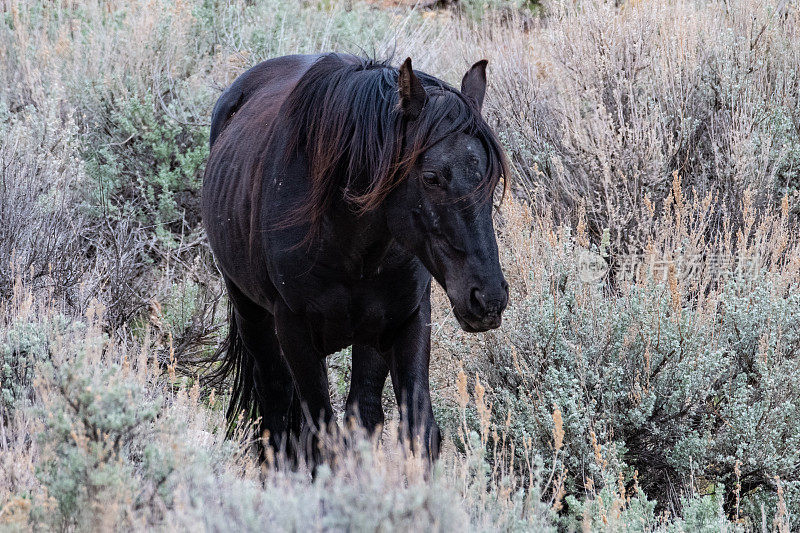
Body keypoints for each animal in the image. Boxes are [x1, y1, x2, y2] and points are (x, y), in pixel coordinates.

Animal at [203, 55, 510, 462]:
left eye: (492, 178)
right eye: (431, 177)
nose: (487, 298)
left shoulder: (406, 319)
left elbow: (418, 431)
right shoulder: (294, 329)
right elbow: (318, 435)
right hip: (249, 309)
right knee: (275, 403)